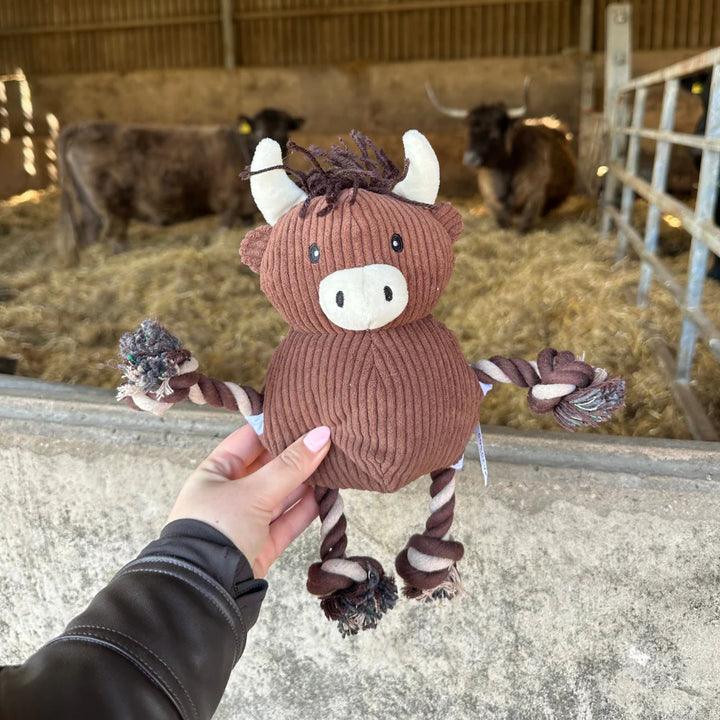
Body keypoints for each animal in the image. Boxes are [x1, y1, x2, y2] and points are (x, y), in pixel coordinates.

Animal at [56, 108, 304, 263]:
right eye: (259, 132)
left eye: (286, 130)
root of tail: (83, 127)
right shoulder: (228, 206)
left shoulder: (245, 211)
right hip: (110, 206)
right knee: (115, 235)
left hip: (88, 205)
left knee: (89, 229)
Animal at [426, 79, 576, 233]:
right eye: (469, 132)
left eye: (494, 132)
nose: (470, 158)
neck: (506, 173)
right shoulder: (491, 198)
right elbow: (502, 222)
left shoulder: (534, 195)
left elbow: (524, 225)